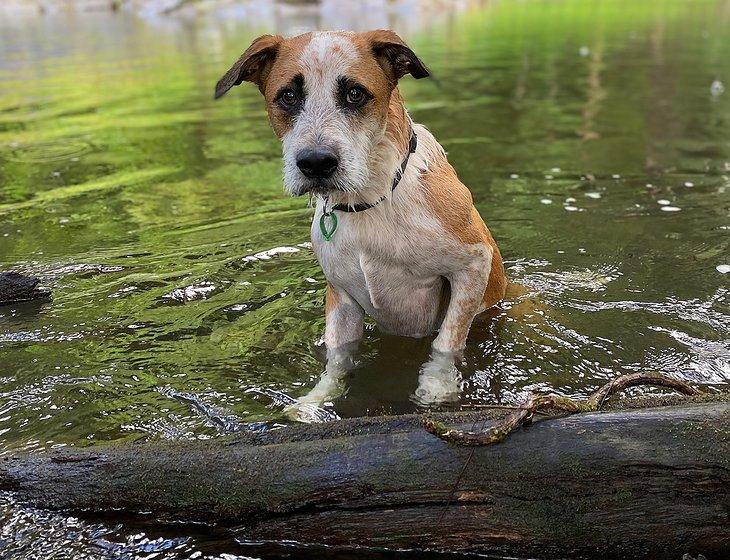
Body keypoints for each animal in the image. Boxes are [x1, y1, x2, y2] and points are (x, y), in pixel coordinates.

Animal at [213, 30, 504, 414]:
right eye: (288, 96)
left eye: (355, 93)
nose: (316, 163)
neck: (370, 203)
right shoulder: (342, 296)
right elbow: (338, 356)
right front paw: (316, 399)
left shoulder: (473, 264)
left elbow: (447, 339)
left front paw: (437, 385)